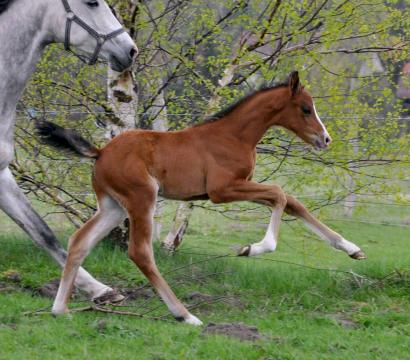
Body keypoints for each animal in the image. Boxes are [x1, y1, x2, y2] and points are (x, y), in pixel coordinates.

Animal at [37, 71, 366, 324]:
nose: (326, 139)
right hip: (142, 198)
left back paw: (60, 309)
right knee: (140, 252)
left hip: (113, 207)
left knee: (80, 242)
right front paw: (254, 248)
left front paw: (352, 249)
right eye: (306, 109)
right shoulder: (223, 190)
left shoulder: (240, 185)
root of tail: (100, 152)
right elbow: (279, 194)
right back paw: (185, 315)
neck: (234, 135)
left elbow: (291, 201)